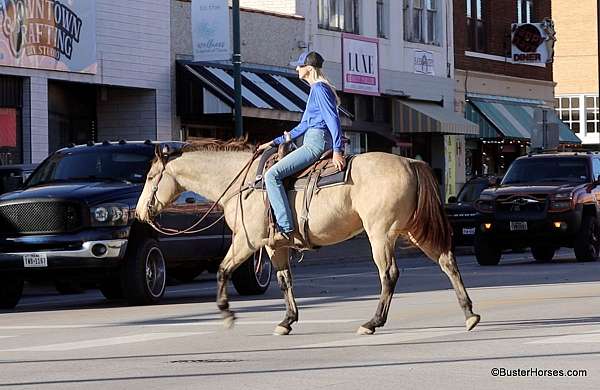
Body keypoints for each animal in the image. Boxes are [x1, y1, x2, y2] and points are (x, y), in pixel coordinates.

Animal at [134, 139, 480, 336]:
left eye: (150, 177)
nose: (138, 213)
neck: (244, 183)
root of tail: (409, 161)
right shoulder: (274, 247)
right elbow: (284, 281)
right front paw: (287, 320)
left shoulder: (247, 242)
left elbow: (222, 270)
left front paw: (228, 314)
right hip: (411, 230)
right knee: (447, 261)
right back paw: (469, 314)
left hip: (380, 234)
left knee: (389, 275)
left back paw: (372, 322)